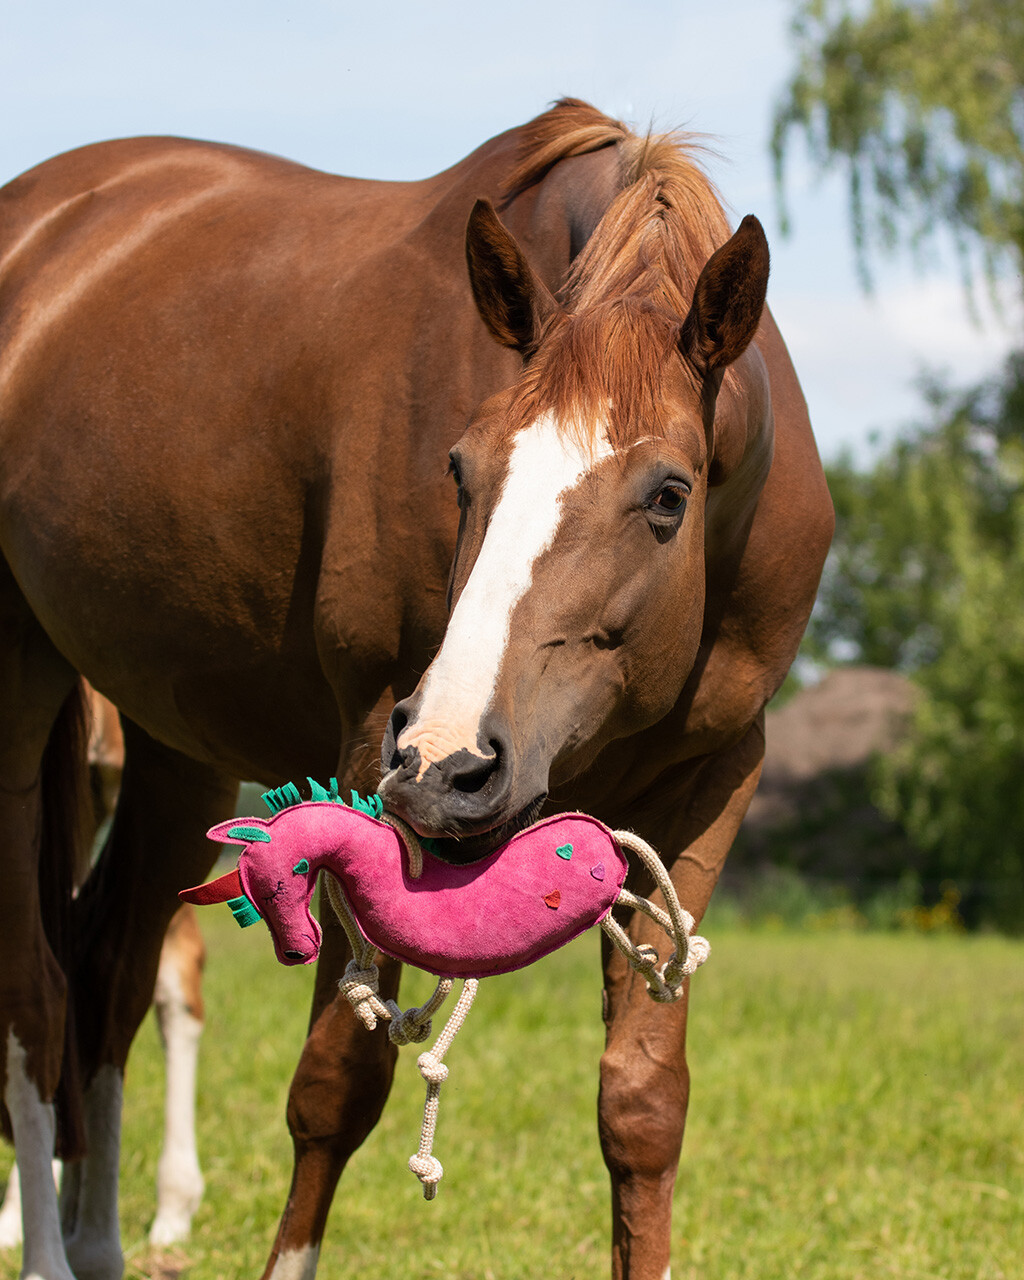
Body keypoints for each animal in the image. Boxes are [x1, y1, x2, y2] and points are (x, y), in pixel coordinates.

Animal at [0, 98, 832, 1279]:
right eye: (459, 469)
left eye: (668, 495)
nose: (447, 764)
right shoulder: (364, 751)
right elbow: (335, 1085)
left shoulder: (709, 782)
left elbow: (642, 1105)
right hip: (24, 688)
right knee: (34, 988)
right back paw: (46, 1248)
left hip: (176, 751)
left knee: (110, 972)